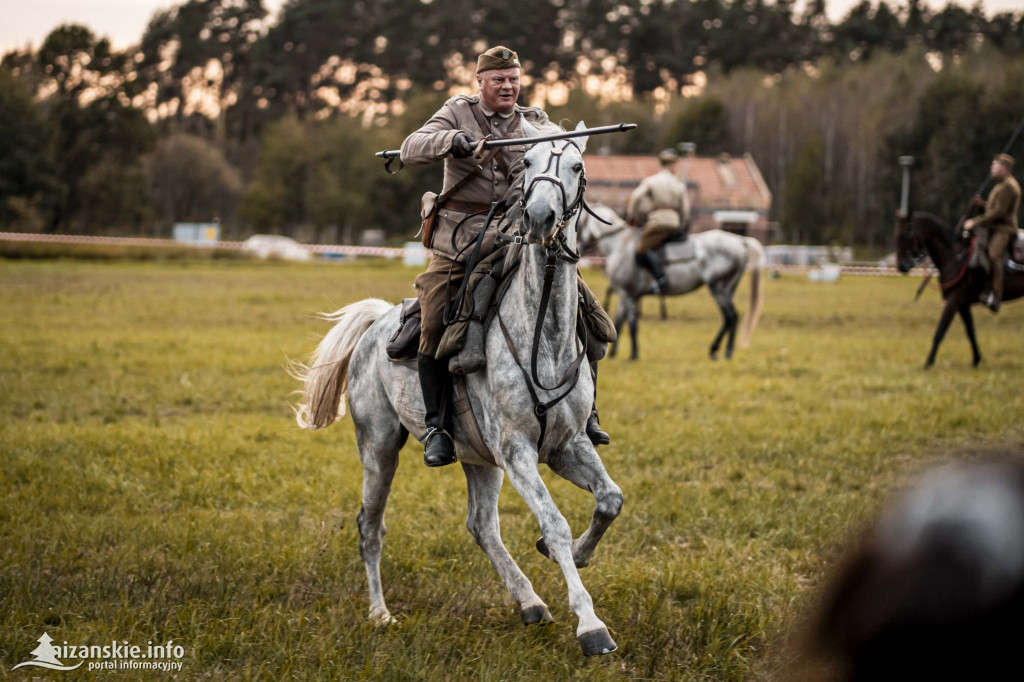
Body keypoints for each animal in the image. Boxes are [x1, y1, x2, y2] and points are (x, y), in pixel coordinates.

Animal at [292, 120, 618, 655]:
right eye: (527, 162)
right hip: (380, 447)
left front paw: (572, 554)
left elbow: (610, 500)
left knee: (481, 525)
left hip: (478, 458)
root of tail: (377, 322)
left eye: (576, 166)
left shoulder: (566, 445)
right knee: (370, 526)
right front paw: (590, 624)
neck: (541, 332)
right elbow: (554, 520)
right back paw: (380, 613)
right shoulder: (518, 451)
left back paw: (529, 601)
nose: (540, 217)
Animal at [581, 202, 765, 358]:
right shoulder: (626, 294)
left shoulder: (628, 294)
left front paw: (633, 355)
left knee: (730, 317)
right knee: (732, 318)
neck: (620, 244)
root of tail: (741, 240)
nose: (580, 247)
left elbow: (631, 325)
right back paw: (723, 350)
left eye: (581, 221)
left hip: (719, 289)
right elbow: (619, 322)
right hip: (727, 289)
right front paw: (614, 353)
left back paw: (720, 350)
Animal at [892, 212, 1019, 368]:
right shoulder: (963, 304)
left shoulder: (954, 300)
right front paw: (976, 359)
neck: (954, 256)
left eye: (906, 235)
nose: (902, 266)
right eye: (896, 234)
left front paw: (928, 362)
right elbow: (970, 331)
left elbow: (941, 330)